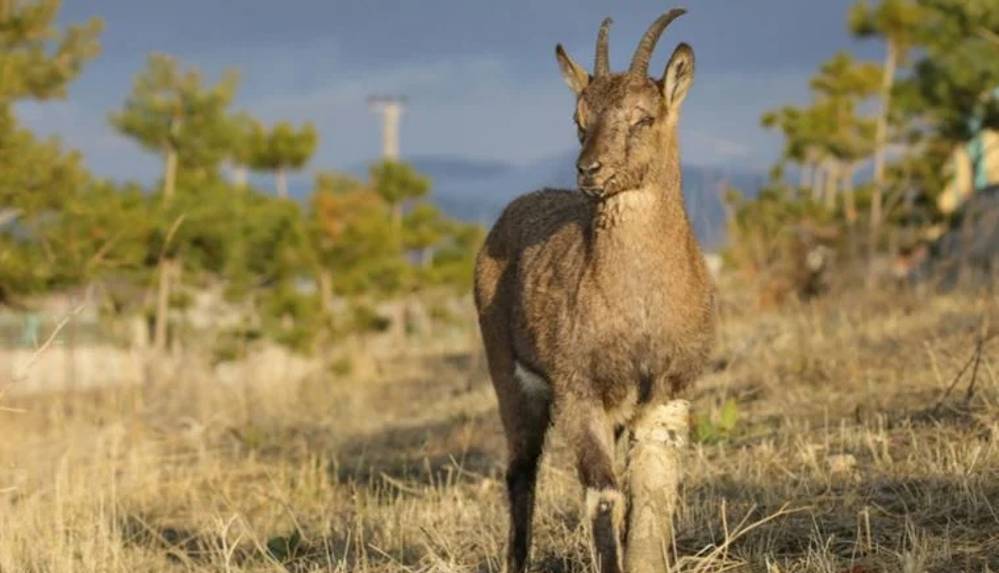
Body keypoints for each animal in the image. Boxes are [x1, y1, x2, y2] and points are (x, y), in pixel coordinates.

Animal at [472, 8, 716, 572]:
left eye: (643, 117)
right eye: (578, 119)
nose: (589, 170)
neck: (640, 304)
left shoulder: (667, 392)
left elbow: (651, 495)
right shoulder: (578, 390)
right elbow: (603, 496)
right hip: (510, 376)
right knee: (521, 470)